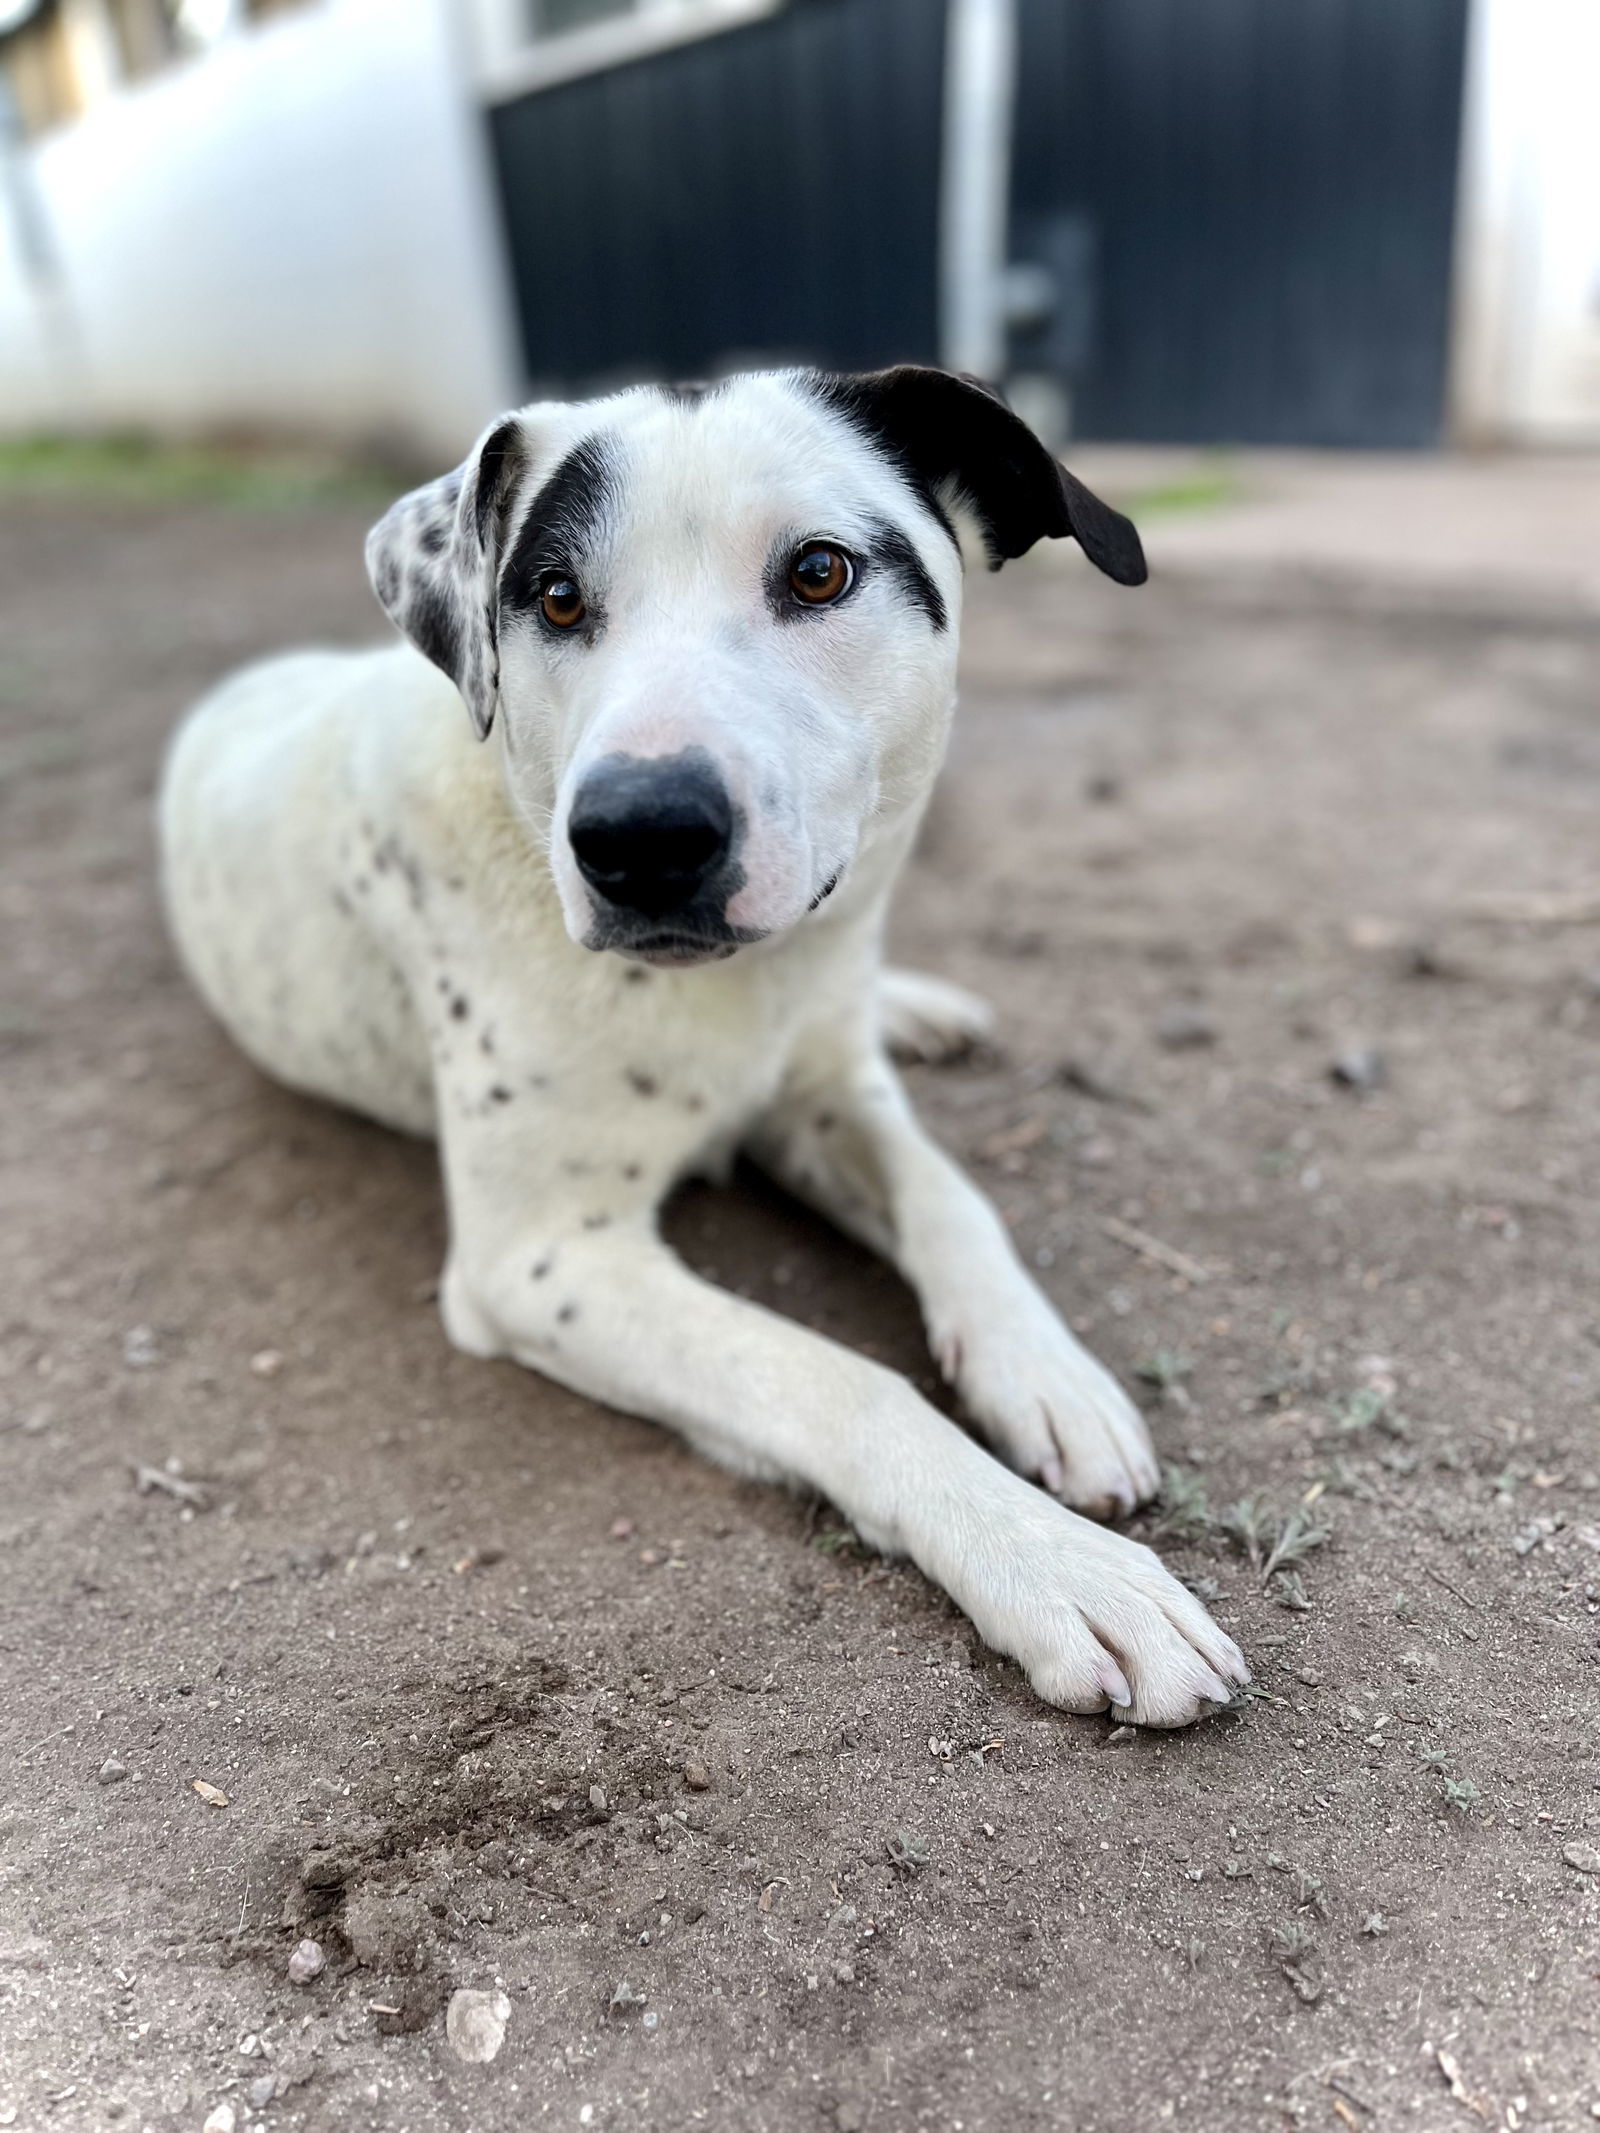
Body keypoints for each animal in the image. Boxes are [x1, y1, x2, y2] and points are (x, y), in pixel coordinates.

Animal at [160, 366, 1254, 1723]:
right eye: (556, 597)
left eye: (821, 572)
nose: (640, 838)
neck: (741, 992)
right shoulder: (544, 1263)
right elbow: (843, 1379)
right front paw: (1055, 1561)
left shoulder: (825, 1096)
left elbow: (954, 1204)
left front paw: (1048, 1375)